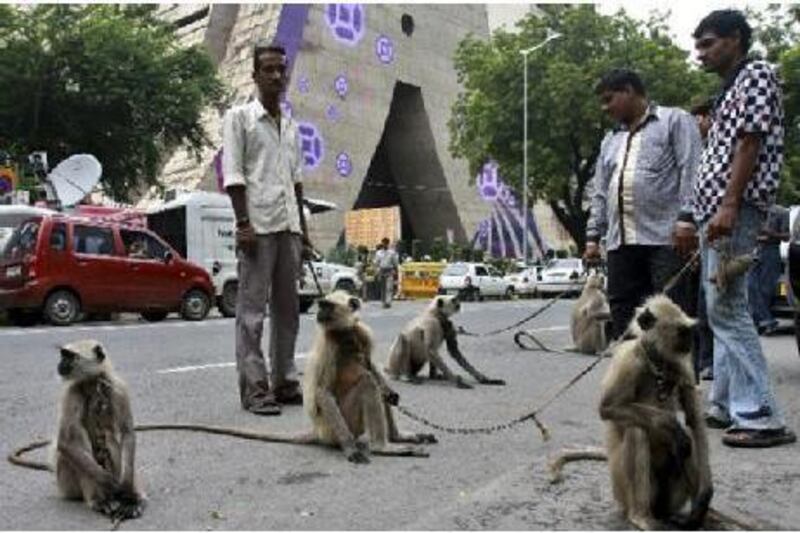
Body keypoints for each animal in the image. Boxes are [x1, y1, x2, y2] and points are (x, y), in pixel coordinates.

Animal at [552, 294, 712, 528]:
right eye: (683, 332)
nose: (691, 342)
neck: (656, 362)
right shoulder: (628, 362)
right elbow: (608, 408)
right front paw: (669, 423)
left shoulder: (682, 366)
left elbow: (694, 420)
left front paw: (704, 498)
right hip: (621, 491)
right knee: (638, 431)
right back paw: (640, 515)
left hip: (670, 496)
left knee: (689, 439)